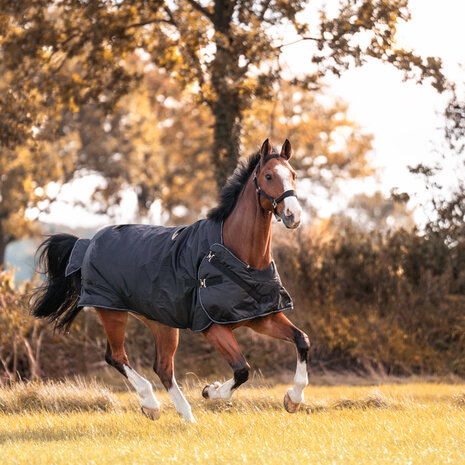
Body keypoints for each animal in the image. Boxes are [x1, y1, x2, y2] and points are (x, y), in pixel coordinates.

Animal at [30, 137, 310, 420]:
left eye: (293, 175)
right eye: (268, 176)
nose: (293, 215)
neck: (238, 255)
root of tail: (87, 243)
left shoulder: (262, 317)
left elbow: (302, 341)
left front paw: (292, 400)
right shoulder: (213, 327)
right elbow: (242, 370)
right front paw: (210, 390)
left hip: (161, 323)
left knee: (162, 367)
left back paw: (187, 418)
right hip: (112, 313)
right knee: (116, 357)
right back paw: (151, 404)